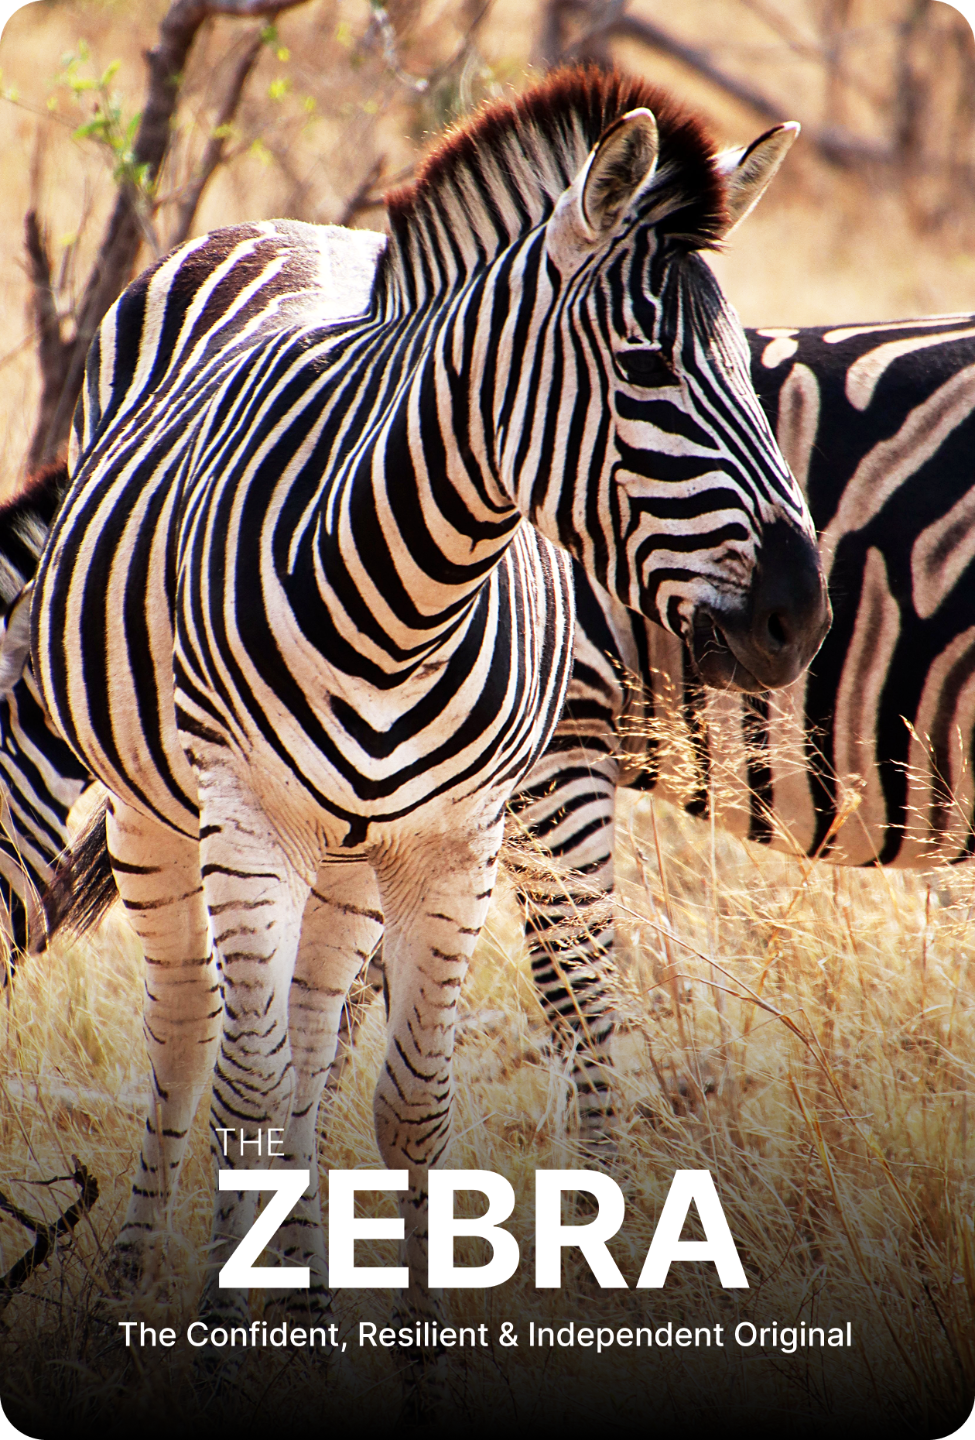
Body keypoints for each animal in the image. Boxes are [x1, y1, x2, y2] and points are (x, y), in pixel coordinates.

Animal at [29, 66, 821, 1341]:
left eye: (751, 373)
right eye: (646, 370)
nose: (801, 616)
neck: (412, 595)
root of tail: (283, 227)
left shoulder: (457, 842)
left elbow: (410, 1111)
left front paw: (408, 1344)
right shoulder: (244, 819)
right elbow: (244, 1091)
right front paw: (222, 1340)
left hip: (355, 852)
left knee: (311, 1039)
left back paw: (303, 1287)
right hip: (154, 808)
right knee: (193, 1027)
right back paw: (143, 1281)